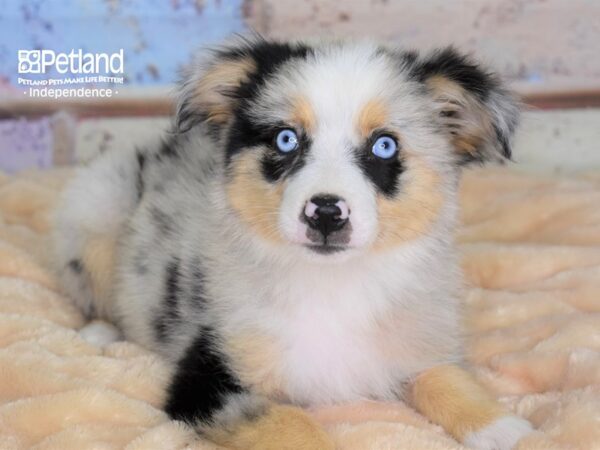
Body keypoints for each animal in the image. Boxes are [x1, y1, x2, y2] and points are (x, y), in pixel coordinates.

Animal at [54, 37, 532, 448]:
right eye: (286, 139)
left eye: (384, 145)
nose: (325, 213)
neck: (335, 284)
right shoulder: (208, 374)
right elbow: (292, 423)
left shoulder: (416, 344)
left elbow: (448, 378)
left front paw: (505, 428)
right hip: (99, 204)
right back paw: (100, 332)